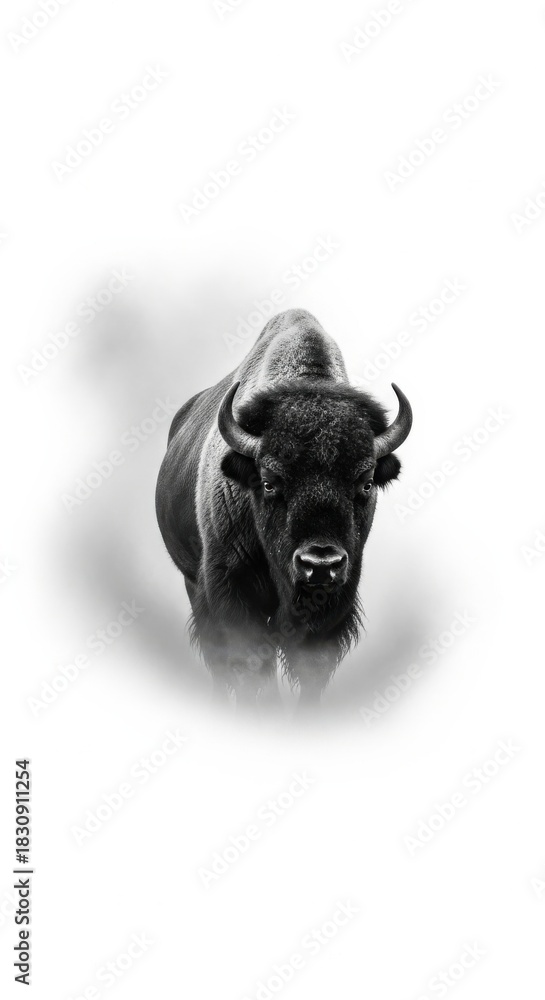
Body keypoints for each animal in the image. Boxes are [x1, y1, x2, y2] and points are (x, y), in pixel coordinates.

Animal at [155, 308, 412, 707]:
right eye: (269, 482)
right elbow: (251, 668)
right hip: (193, 584)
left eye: (366, 483)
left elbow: (310, 672)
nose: (320, 564)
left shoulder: (334, 606)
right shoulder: (232, 590)